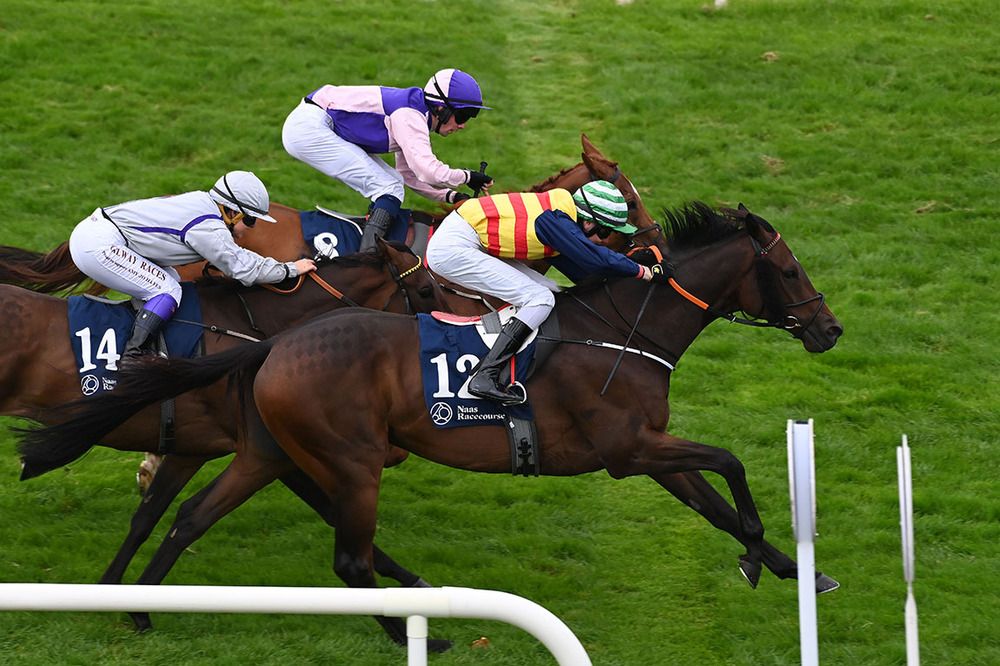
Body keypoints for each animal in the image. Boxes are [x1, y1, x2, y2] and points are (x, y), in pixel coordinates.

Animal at [23, 201, 844, 644]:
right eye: (791, 271)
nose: (829, 330)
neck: (626, 330)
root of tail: (274, 344)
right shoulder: (629, 447)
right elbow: (730, 463)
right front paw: (761, 558)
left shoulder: (646, 453)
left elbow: (716, 503)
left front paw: (800, 570)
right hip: (351, 462)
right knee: (349, 560)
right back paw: (422, 634)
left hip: (268, 452)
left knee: (190, 515)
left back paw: (139, 611)